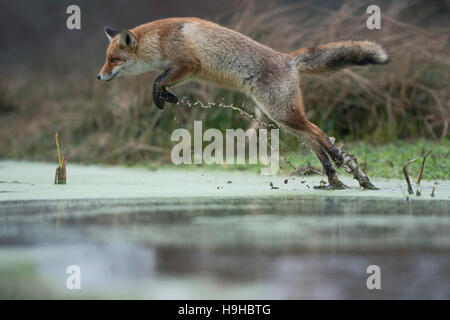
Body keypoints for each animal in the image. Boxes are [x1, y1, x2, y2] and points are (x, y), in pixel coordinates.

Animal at [96, 17, 388, 190]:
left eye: (113, 59)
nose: (99, 76)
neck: (160, 38)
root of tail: (287, 59)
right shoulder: (184, 71)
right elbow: (161, 82)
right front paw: (168, 97)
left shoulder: (188, 64)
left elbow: (156, 81)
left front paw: (161, 98)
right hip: (283, 118)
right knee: (314, 141)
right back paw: (337, 179)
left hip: (283, 113)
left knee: (318, 133)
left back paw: (342, 163)